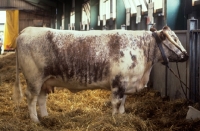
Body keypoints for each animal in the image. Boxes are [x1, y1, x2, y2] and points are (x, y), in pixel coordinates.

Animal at [13, 25, 188, 123]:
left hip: (45, 80)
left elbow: (123, 103)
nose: (186, 55)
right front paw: (115, 120)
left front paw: (122, 116)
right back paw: (35, 121)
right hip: (34, 78)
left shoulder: (126, 83)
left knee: (41, 99)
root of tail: (27, 30)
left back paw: (46, 117)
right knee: (31, 98)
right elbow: (116, 103)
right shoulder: (118, 82)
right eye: (173, 39)